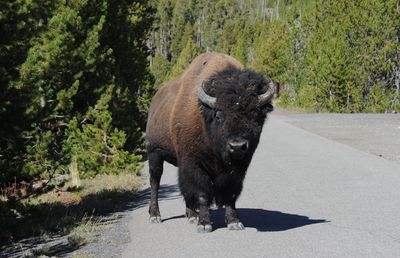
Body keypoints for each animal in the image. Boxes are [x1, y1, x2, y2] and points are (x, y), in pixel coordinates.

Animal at [145, 52, 274, 232]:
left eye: (254, 115)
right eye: (219, 115)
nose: (237, 146)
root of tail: (155, 103)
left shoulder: (239, 168)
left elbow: (231, 193)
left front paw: (234, 222)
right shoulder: (194, 164)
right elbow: (202, 193)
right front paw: (204, 224)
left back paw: (191, 216)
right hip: (154, 153)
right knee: (155, 182)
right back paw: (155, 216)